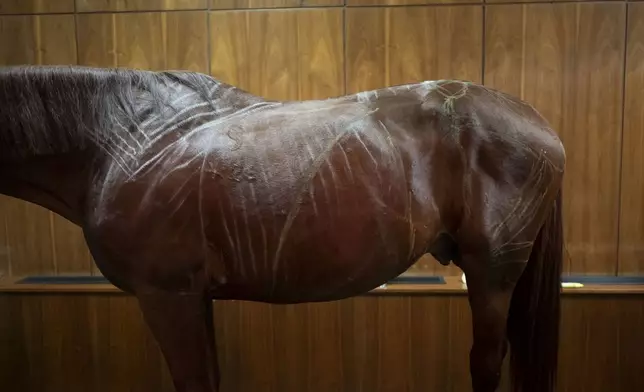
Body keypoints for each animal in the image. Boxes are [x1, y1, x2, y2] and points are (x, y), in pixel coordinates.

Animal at [0, 65, 564, 392]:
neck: (125, 137)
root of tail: (540, 123)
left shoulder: (167, 296)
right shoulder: (193, 298)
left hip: (492, 273)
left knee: (486, 362)